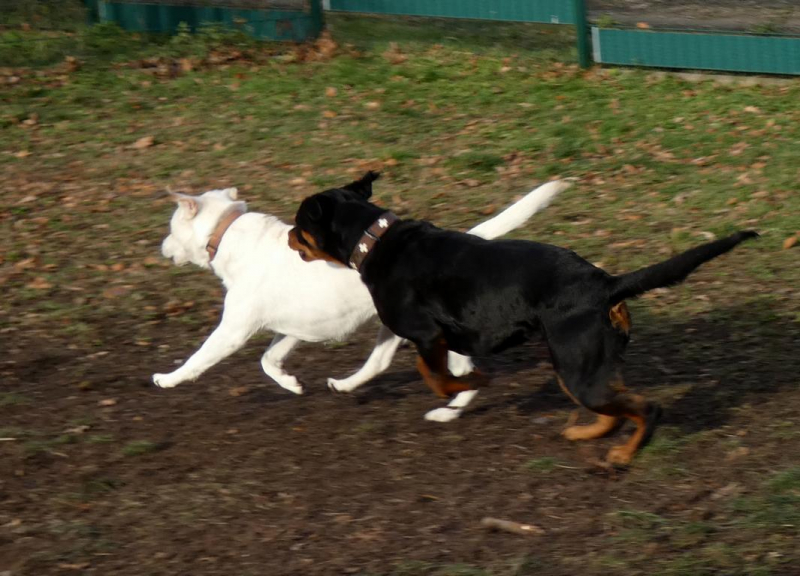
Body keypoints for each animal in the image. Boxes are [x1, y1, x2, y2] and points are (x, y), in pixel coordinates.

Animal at [153, 177, 571, 422]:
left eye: (170, 228)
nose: (161, 248)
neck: (226, 234)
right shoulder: (291, 328)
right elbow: (269, 360)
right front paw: (291, 384)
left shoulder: (233, 329)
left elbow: (199, 359)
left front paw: (167, 379)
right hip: (396, 327)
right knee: (384, 362)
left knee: (459, 371)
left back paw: (448, 410)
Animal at [289, 171, 758, 464]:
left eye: (298, 222)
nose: (289, 235)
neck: (374, 241)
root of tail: (605, 283)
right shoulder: (415, 334)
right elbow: (384, 365)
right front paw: (347, 384)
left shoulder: (426, 334)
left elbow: (436, 377)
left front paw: (471, 384)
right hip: (582, 369)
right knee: (617, 406)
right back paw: (585, 435)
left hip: (576, 368)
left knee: (648, 407)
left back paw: (623, 455)